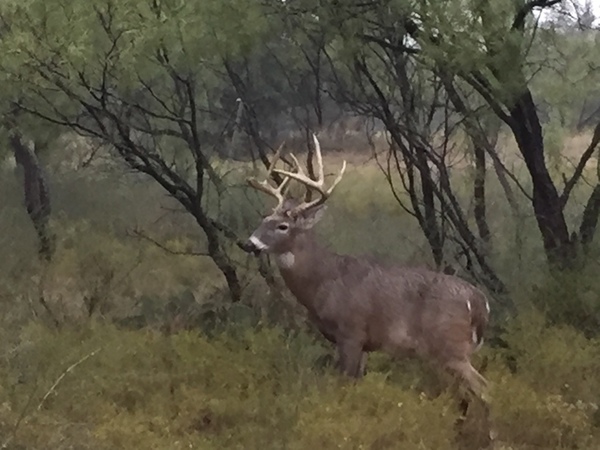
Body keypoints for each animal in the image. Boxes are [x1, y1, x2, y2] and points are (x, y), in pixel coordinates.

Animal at [244, 136, 492, 414]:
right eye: (264, 218)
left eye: (282, 226)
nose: (248, 243)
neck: (323, 281)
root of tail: (480, 301)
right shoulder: (362, 344)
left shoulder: (351, 332)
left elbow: (345, 384)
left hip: (450, 346)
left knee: (485, 389)